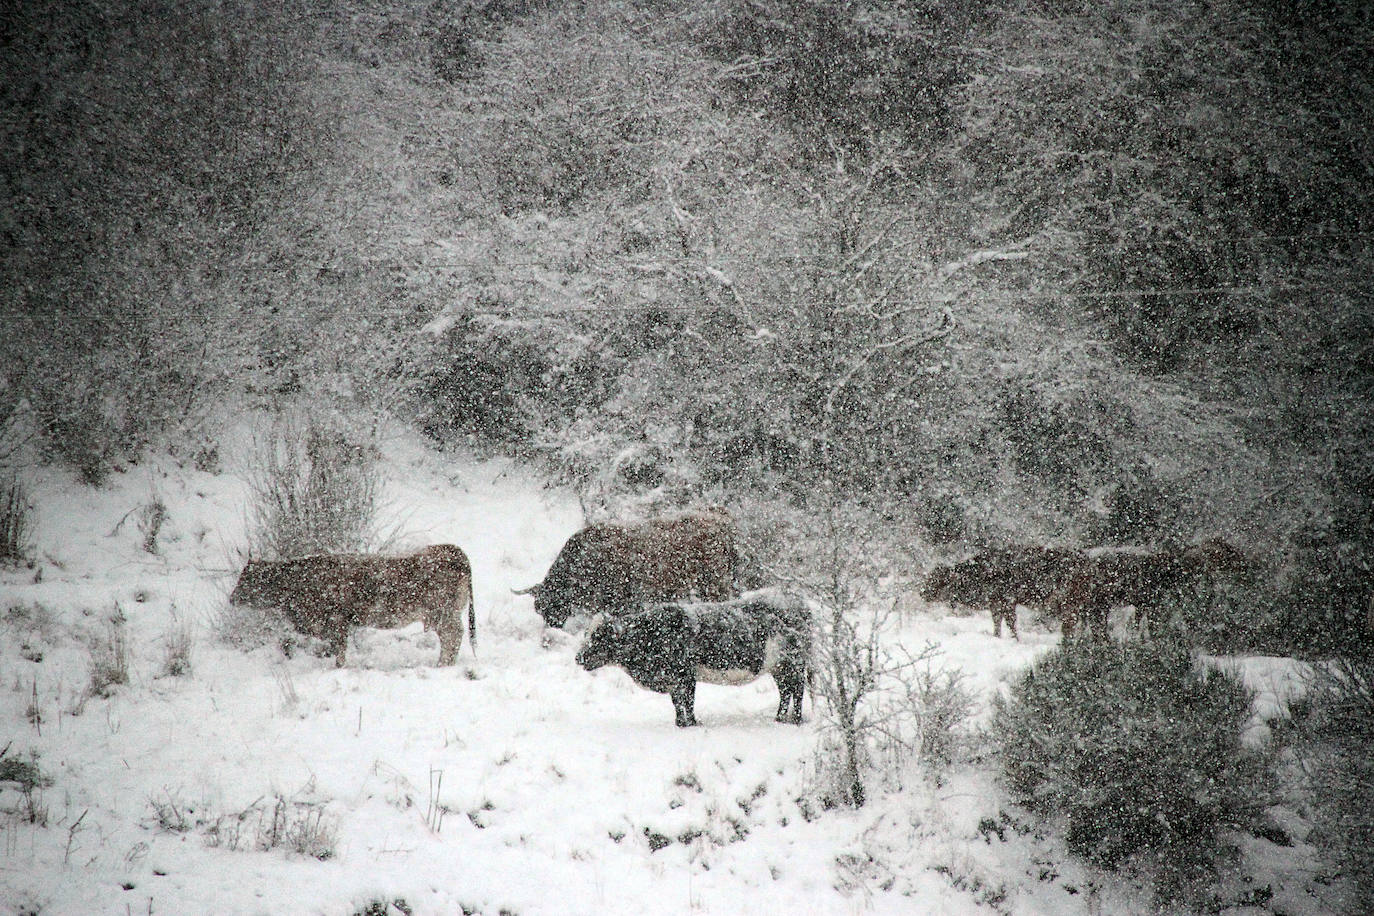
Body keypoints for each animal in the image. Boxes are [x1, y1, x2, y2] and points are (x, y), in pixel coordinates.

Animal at [228, 543, 475, 667]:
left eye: (249, 579)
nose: (232, 598)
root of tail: (453, 550)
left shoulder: (336, 621)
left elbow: (339, 650)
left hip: (443, 613)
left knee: (453, 636)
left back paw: (443, 665)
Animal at [513, 508, 741, 631]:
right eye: (539, 609)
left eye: (552, 605)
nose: (550, 631)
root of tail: (722, 519)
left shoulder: (621, 600)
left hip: (714, 582)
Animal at [574, 587, 807, 730]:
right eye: (587, 633)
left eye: (599, 636)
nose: (578, 657)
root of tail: (791, 597)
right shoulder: (674, 679)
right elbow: (678, 702)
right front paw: (681, 723)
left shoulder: (684, 675)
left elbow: (687, 700)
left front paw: (691, 723)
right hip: (779, 666)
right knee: (786, 691)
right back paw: (779, 718)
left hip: (794, 662)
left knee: (797, 690)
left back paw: (794, 720)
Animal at [923, 543, 1093, 637]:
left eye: (940, 581)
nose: (922, 592)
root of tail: (1087, 562)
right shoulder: (996, 603)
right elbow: (997, 622)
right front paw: (997, 636)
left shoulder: (1008, 600)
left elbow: (1010, 622)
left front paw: (1015, 639)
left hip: (1070, 603)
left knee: (1070, 626)